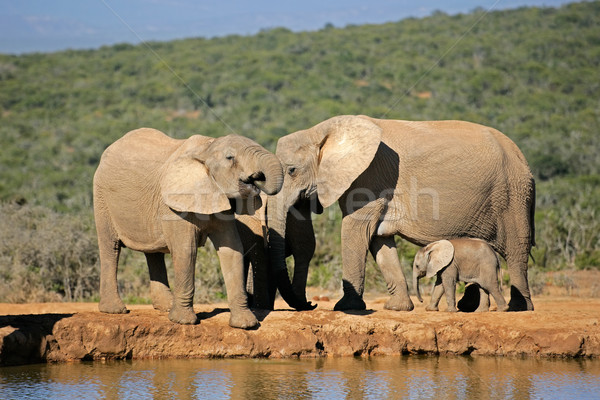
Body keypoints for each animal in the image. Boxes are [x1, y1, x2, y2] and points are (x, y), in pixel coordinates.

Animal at [92, 128, 284, 328]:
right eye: (230, 157)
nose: (257, 179)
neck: (207, 148)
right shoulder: (175, 205)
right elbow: (186, 250)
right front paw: (184, 321)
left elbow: (232, 250)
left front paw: (246, 325)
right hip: (102, 197)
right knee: (111, 247)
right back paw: (114, 310)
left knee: (153, 252)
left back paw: (166, 307)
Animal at [268, 115, 536, 312]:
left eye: (291, 170)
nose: (309, 304)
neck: (321, 131)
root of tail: (521, 156)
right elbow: (379, 240)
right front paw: (398, 308)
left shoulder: (368, 177)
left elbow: (355, 230)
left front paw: (345, 308)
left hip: (513, 196)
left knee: (516, 251)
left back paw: (518, 308)